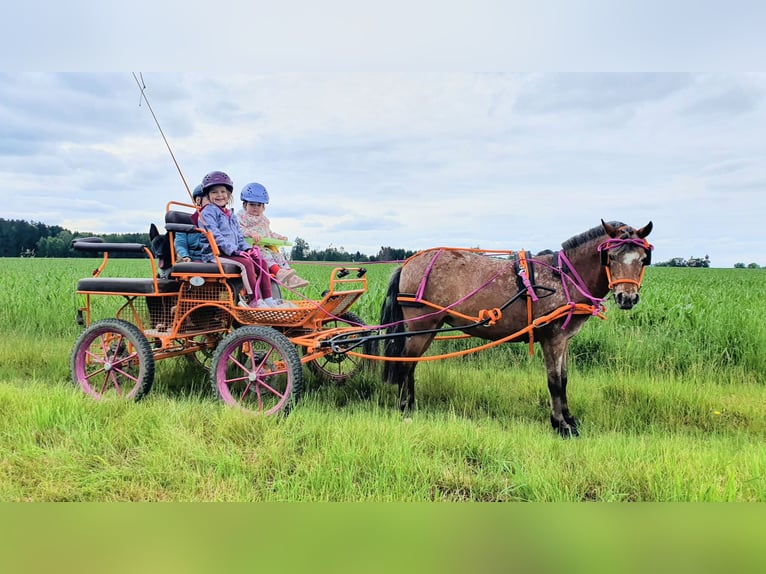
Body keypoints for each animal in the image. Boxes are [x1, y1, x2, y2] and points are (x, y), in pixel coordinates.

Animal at [380, 219, 656, 436]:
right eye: (611, 257)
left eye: (643, 260)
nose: (627, 298)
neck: (564, 277)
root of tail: (408, 263)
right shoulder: (552, 338)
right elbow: (554, 381)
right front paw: (560, 425)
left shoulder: (564, 339)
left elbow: (565, 379)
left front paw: (570, 420)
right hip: (421, 325)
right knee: (405, 363)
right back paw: (405, 409)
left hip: (429, 328)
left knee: (412, 365)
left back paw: (411, 405)